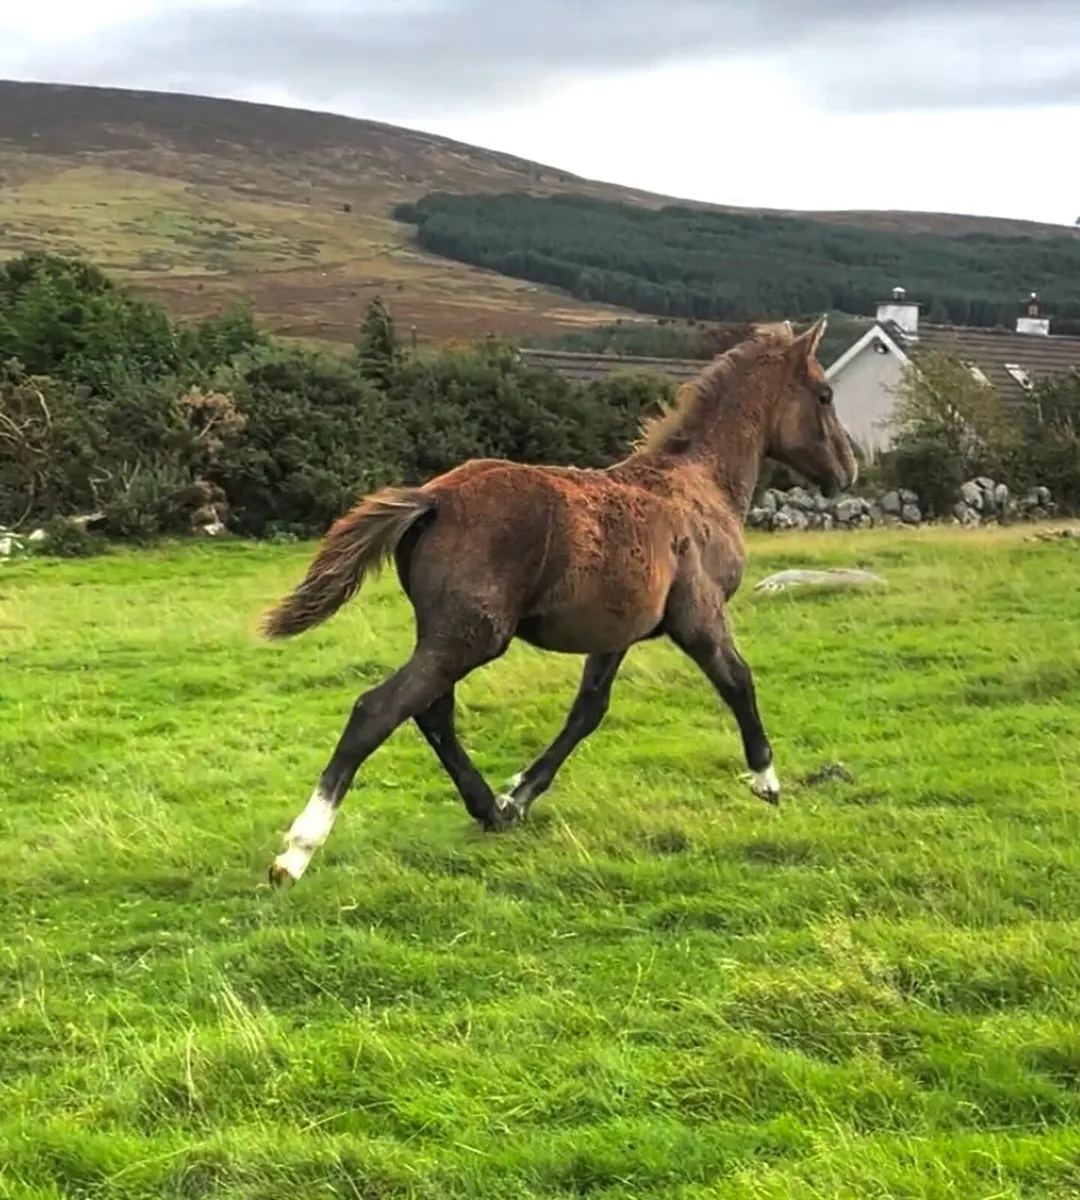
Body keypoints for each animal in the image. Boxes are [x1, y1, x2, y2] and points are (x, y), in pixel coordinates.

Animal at [260, 316, 857, 886]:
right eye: (824, 394)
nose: (848, 469)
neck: (699, 484)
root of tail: (433, 499)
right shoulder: (699, 615)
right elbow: (738, 681)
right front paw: (767, 781)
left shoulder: (616, 633)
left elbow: (588, 710)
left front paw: (518, 795)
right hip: (472, 635)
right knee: (379, 709)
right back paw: (296, 853)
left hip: (447, 633)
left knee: (432, 710)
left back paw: (488, 810)